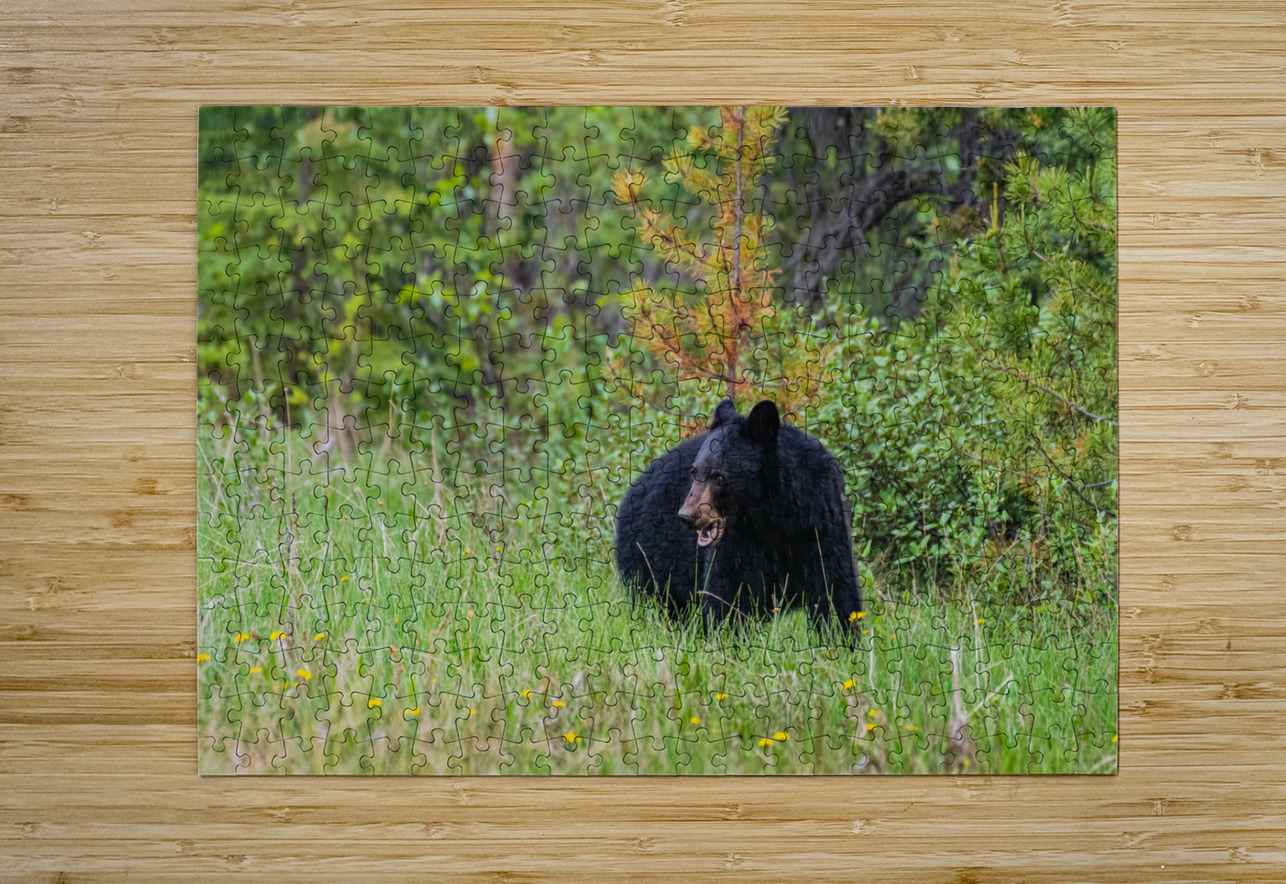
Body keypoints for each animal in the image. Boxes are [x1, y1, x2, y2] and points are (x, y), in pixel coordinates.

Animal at [614, 398, 863, 637]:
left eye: (719, 476)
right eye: (694, 471)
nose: (687, 516)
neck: (772, 516)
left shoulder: (821, 523)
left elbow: (836, 588)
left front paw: (842, 640)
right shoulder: (735, 545)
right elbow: (728, 594)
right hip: (650, 559)